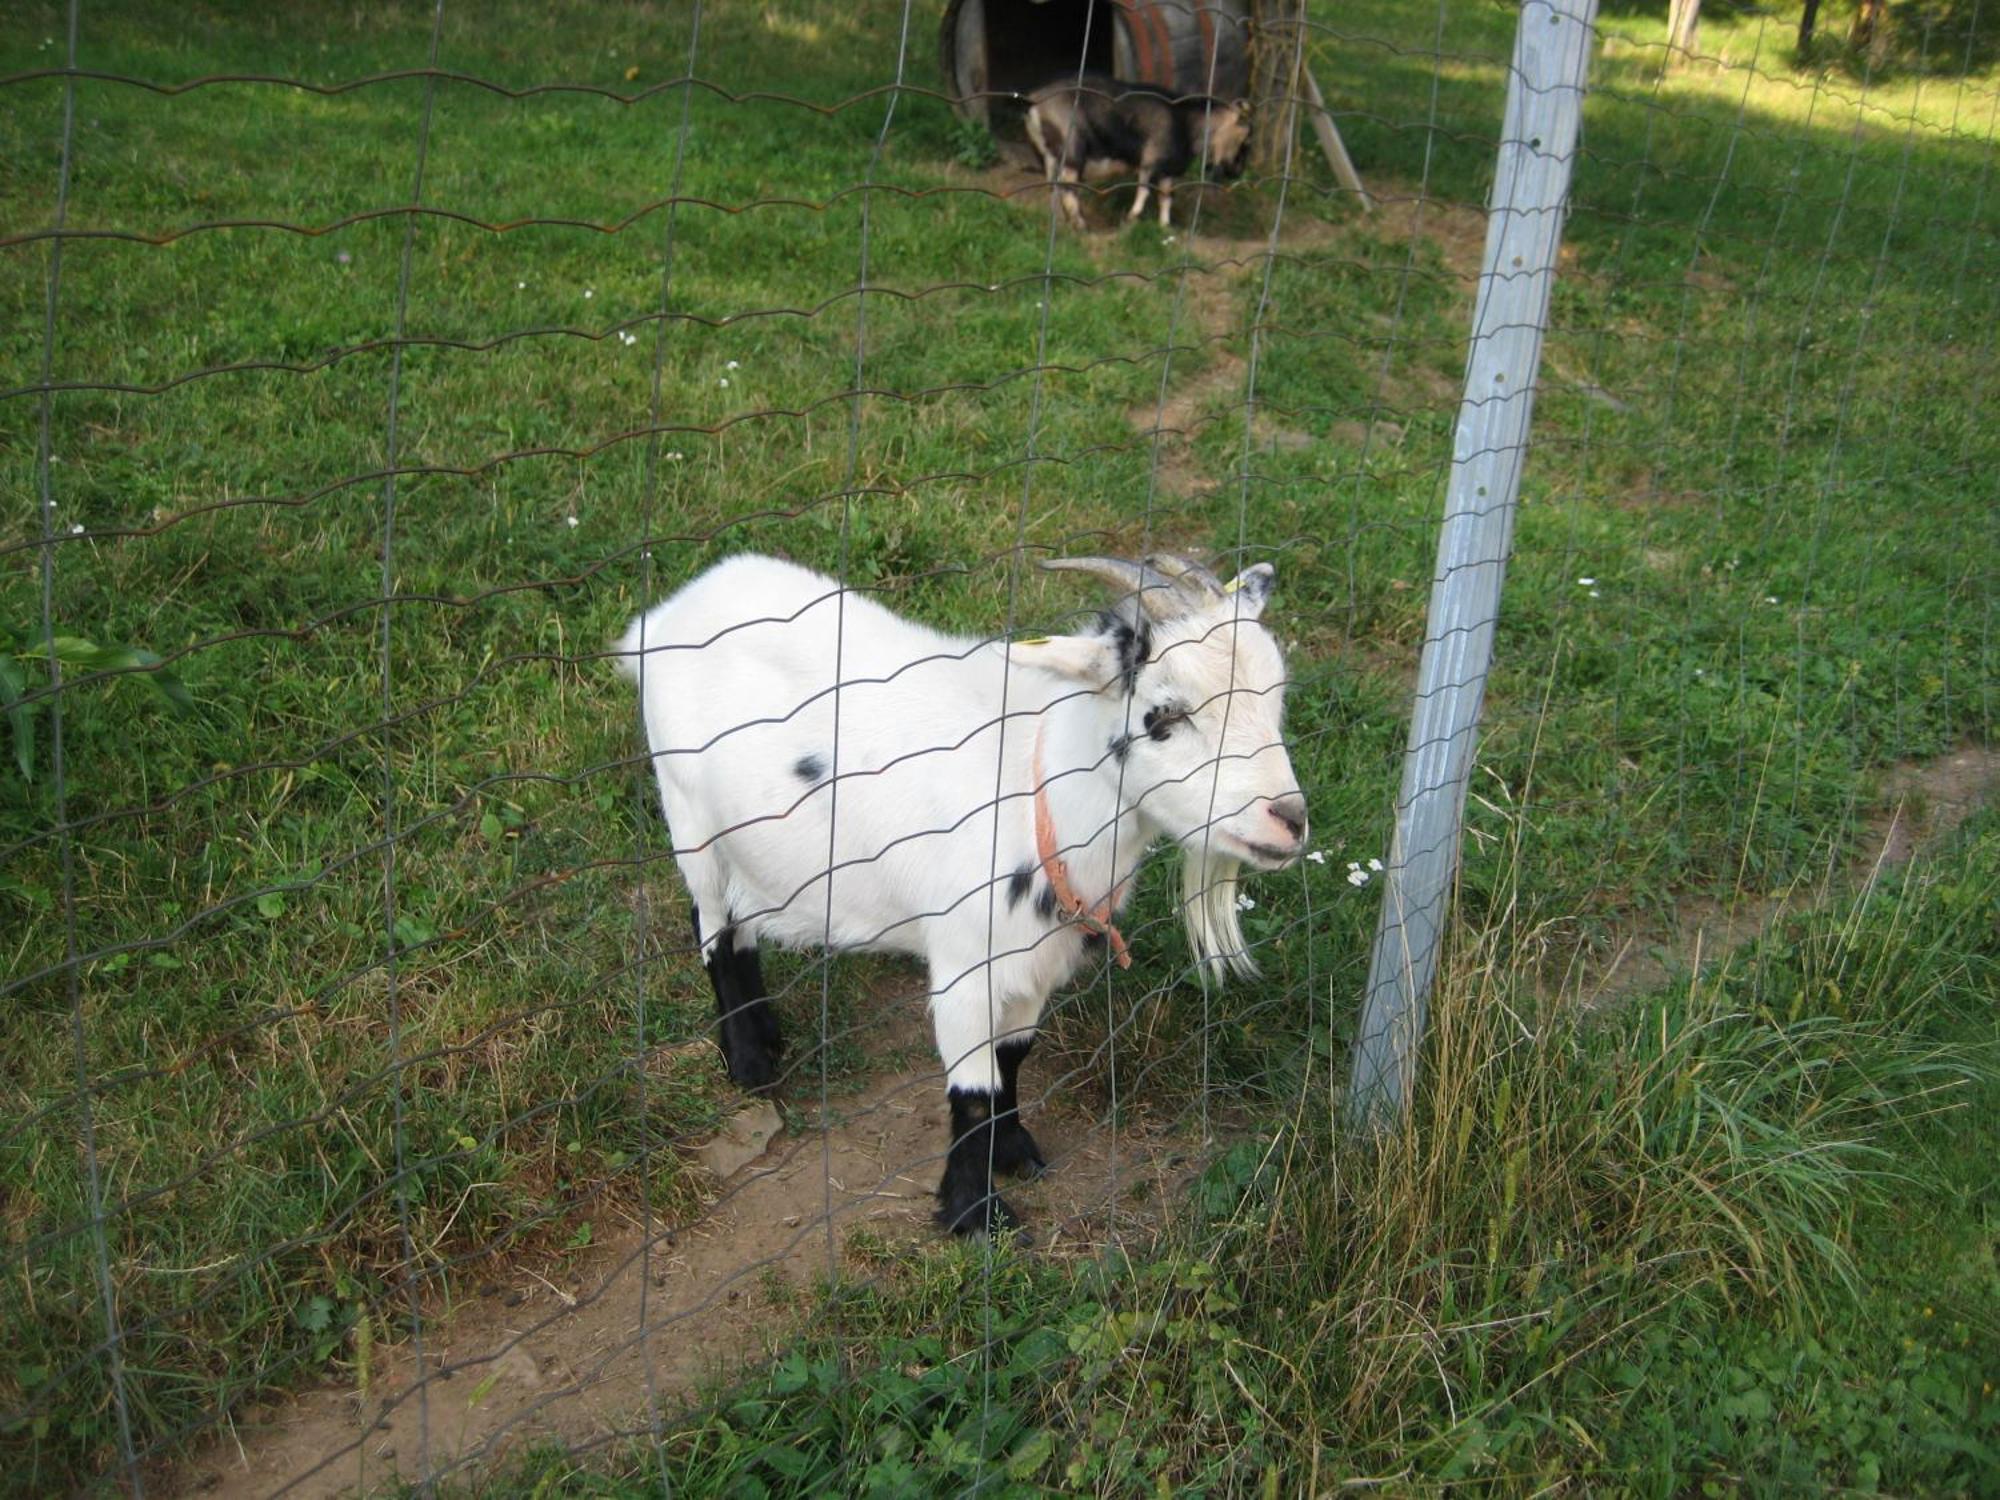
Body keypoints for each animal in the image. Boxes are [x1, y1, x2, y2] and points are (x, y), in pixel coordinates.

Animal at [616, 552, 1304, 1232]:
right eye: (1165, 714)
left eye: (1276, 699)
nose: (1291, 820)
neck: (1035, 795)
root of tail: (669, 611)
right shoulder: (963, 967)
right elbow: (973, 1089)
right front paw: (974, 1214)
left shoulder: (1036, 963)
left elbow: (1013, 1060)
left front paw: (1015, 1153)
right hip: (688, 812)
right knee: (713, 923)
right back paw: (750, 1063)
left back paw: (764, 1034)